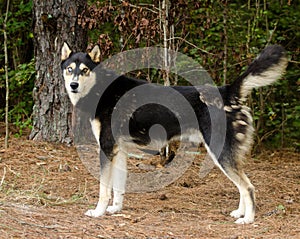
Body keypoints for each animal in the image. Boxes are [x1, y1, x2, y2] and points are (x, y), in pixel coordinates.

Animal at [61, 43, 288, 224]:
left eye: (85, 70)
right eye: (70, 69)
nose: (73, 85)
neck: (101, 88)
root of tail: (227, 91)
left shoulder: (106, 148)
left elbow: (104, 190)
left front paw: (98, 212)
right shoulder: (119, 151)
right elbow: (118, 187)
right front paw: (115, 209)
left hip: (220, 152)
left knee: (248, 187)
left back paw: (248, 219)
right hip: (226, 154)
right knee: (242, 185)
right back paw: (240, 213)